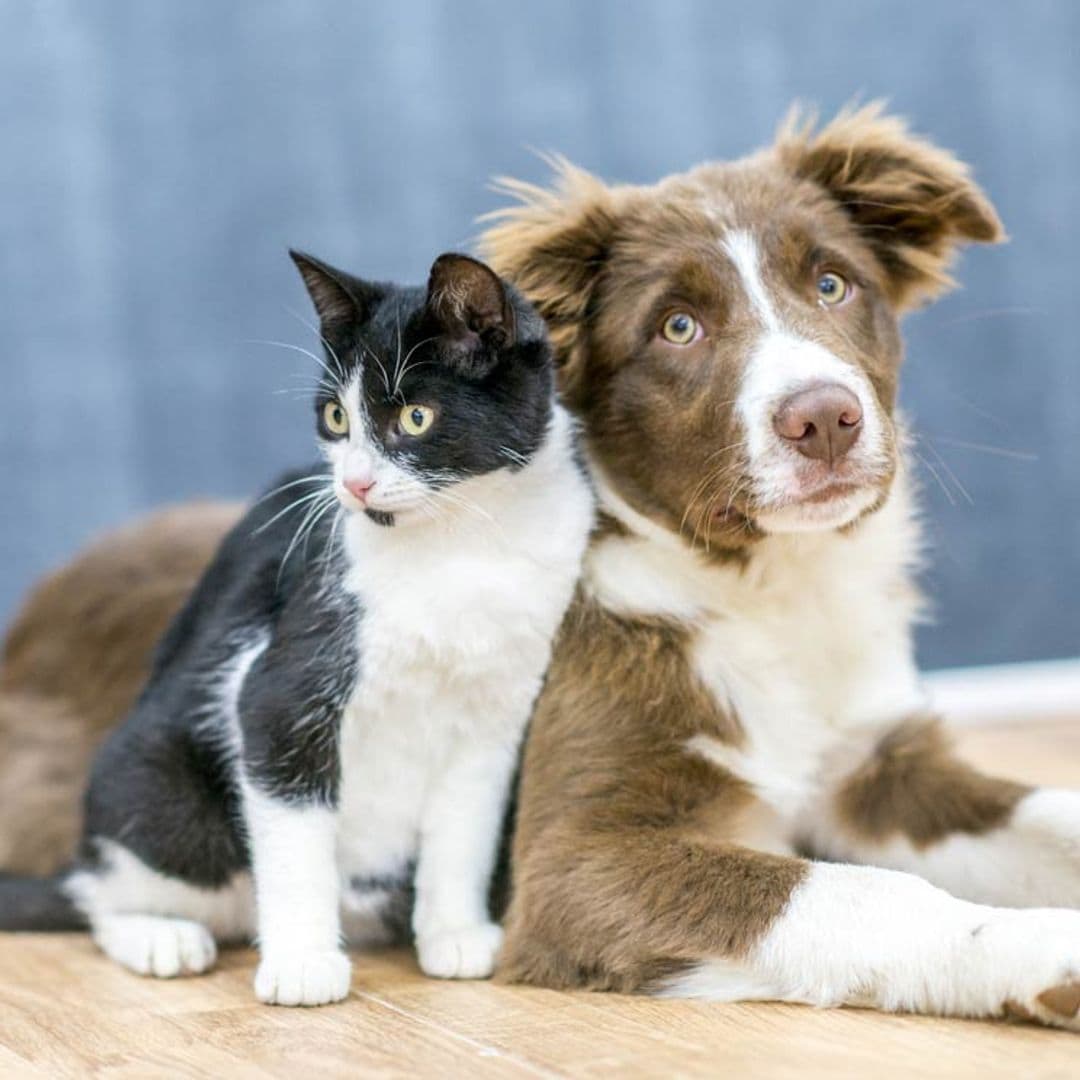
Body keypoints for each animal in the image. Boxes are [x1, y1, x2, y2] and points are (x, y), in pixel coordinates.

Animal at [0, 248, 596, 1006]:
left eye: (416, 417)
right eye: (337, 416)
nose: (356, 485)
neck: (461, 545)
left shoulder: (498, 715)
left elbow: (466, 827)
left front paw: (456, 934)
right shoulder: (280, 688)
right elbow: (295, 832)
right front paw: (304, 963)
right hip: (162, 793)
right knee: (100, 890)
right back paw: (159, 936)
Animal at [479, 107, 1080, 1028]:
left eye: (832, 284)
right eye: (677, 326)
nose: (824, 419)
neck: (775, 591)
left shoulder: (876, 771)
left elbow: (1052, 811)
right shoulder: (571, 859)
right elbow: (864, 895)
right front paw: (1046, 945)